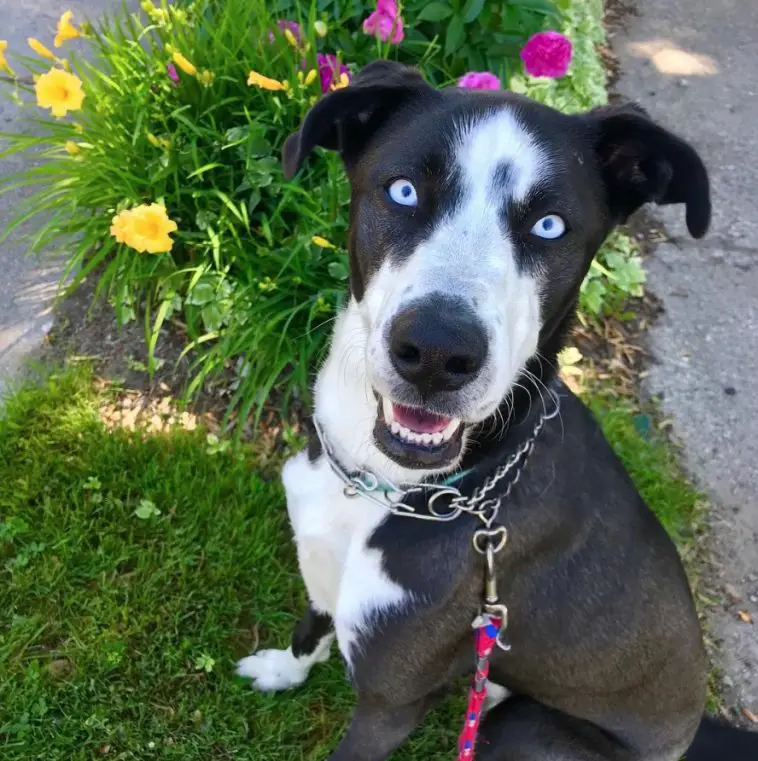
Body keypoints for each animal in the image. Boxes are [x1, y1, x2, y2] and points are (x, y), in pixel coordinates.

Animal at [239, 63, 758, 760]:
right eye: (403, 190)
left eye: (550, 226)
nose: (436, 352)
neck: (387, 487)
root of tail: (689, 733)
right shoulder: (322, 575)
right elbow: (307, 630)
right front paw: (279, 670)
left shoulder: (389, 702)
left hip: (524, 728)